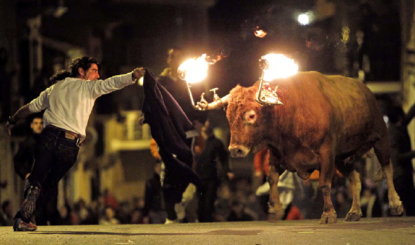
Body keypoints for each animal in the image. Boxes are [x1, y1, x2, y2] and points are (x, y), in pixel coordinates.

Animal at [200, 71, 404, 224]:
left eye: (251, 115)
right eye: (228, 116)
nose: (235, 149)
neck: (291, 111)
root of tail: (366, 91)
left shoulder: (327, 154)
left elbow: (324, 184)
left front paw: (328, 214)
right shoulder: (277, 155)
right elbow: (272, 179)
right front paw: (276, 208)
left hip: (380, 138)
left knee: (387, 169)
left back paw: (395, 204)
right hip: (343, 157)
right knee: (355, 179)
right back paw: (354, 212)